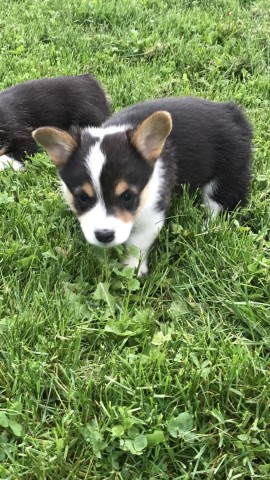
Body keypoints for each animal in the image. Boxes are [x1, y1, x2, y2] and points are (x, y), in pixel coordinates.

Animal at [32, 97, 252, 276]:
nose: (104, 236)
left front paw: (132, 269)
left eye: (127, 196)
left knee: (220, 205)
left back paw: (206, 229)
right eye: (83, 197)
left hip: (227, 176)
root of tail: (231, 112)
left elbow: (137, 245)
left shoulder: (151, 215)